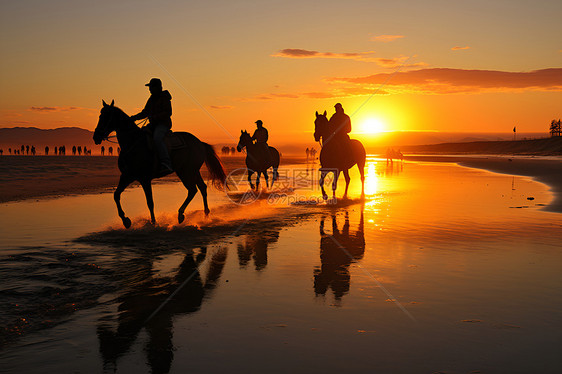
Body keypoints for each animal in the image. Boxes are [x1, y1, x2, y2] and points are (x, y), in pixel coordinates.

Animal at [92, 100, 225, 228]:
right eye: (100, 115)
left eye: (106, 116)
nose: (96, 137)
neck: (133, 143)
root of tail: (200, 143)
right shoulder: (126, 176)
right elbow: (116, 195)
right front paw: (126, 220)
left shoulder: (145, 179)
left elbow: (150, 202)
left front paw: (153, 222)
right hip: (193, 171)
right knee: (202, 187)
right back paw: (206, 215)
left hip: (186, 172)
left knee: (192, 190)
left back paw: (181, 214)